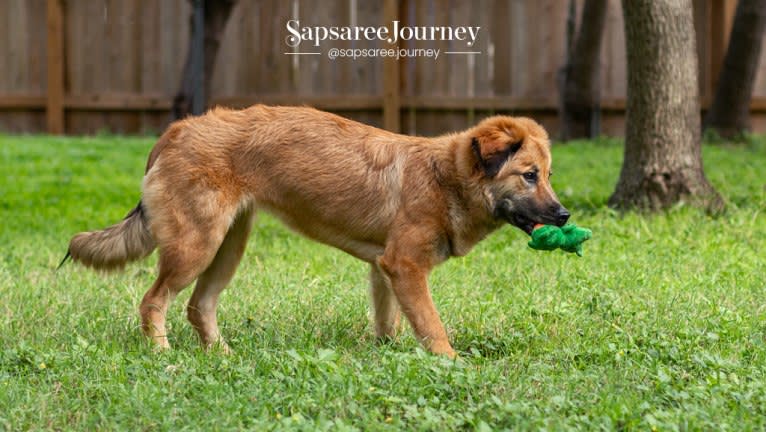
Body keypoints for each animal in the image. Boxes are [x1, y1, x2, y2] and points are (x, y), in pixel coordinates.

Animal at [64, 105, 568, 358]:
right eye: (528, 176)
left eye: (547, 175)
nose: (563, 216)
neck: (445, 176)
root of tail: (177, 130)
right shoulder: (405, 267)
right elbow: (433, 327)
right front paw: (451, 364)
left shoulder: (385, 271)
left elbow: (389, 324)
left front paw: (387, 356)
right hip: (195, 247)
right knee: (154, 302)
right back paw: (164, 357)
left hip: (227, 247)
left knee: (198, 305)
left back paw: (222, 356)